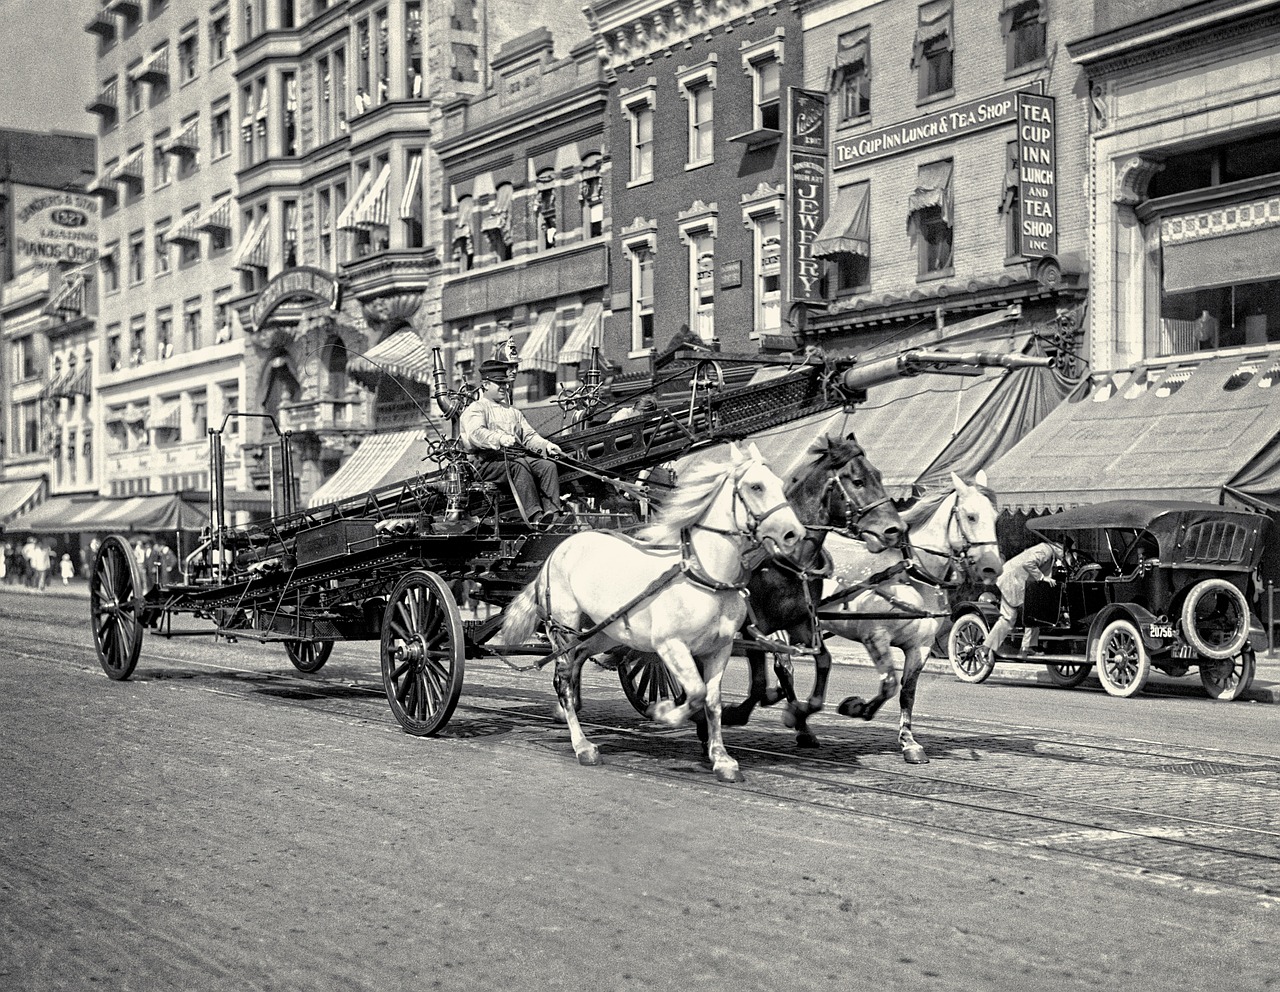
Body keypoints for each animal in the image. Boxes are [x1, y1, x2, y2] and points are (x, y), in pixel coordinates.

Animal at [501, 445, 793, 783]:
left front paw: (721, 759)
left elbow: (712, 700)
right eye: (756, 486)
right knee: (562, 679)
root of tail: (558, 550)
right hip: (563, 626)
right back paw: (582, 745)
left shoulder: (720, 647)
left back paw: (569, 709)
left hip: (604, 630)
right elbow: (695, 693)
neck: (703, 575)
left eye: (779, 484)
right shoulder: (671, 645)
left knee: (577, 662)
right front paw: (665, 713)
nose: (792, 534)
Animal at [814, 473, 1003, 768]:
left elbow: (907, 693)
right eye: (971, 516)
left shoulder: (920, 647)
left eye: (995, 518)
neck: (910, 574)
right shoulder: (876, 637)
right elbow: (889, 685)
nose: (993, 567)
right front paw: (857, 708)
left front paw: (908, 742)